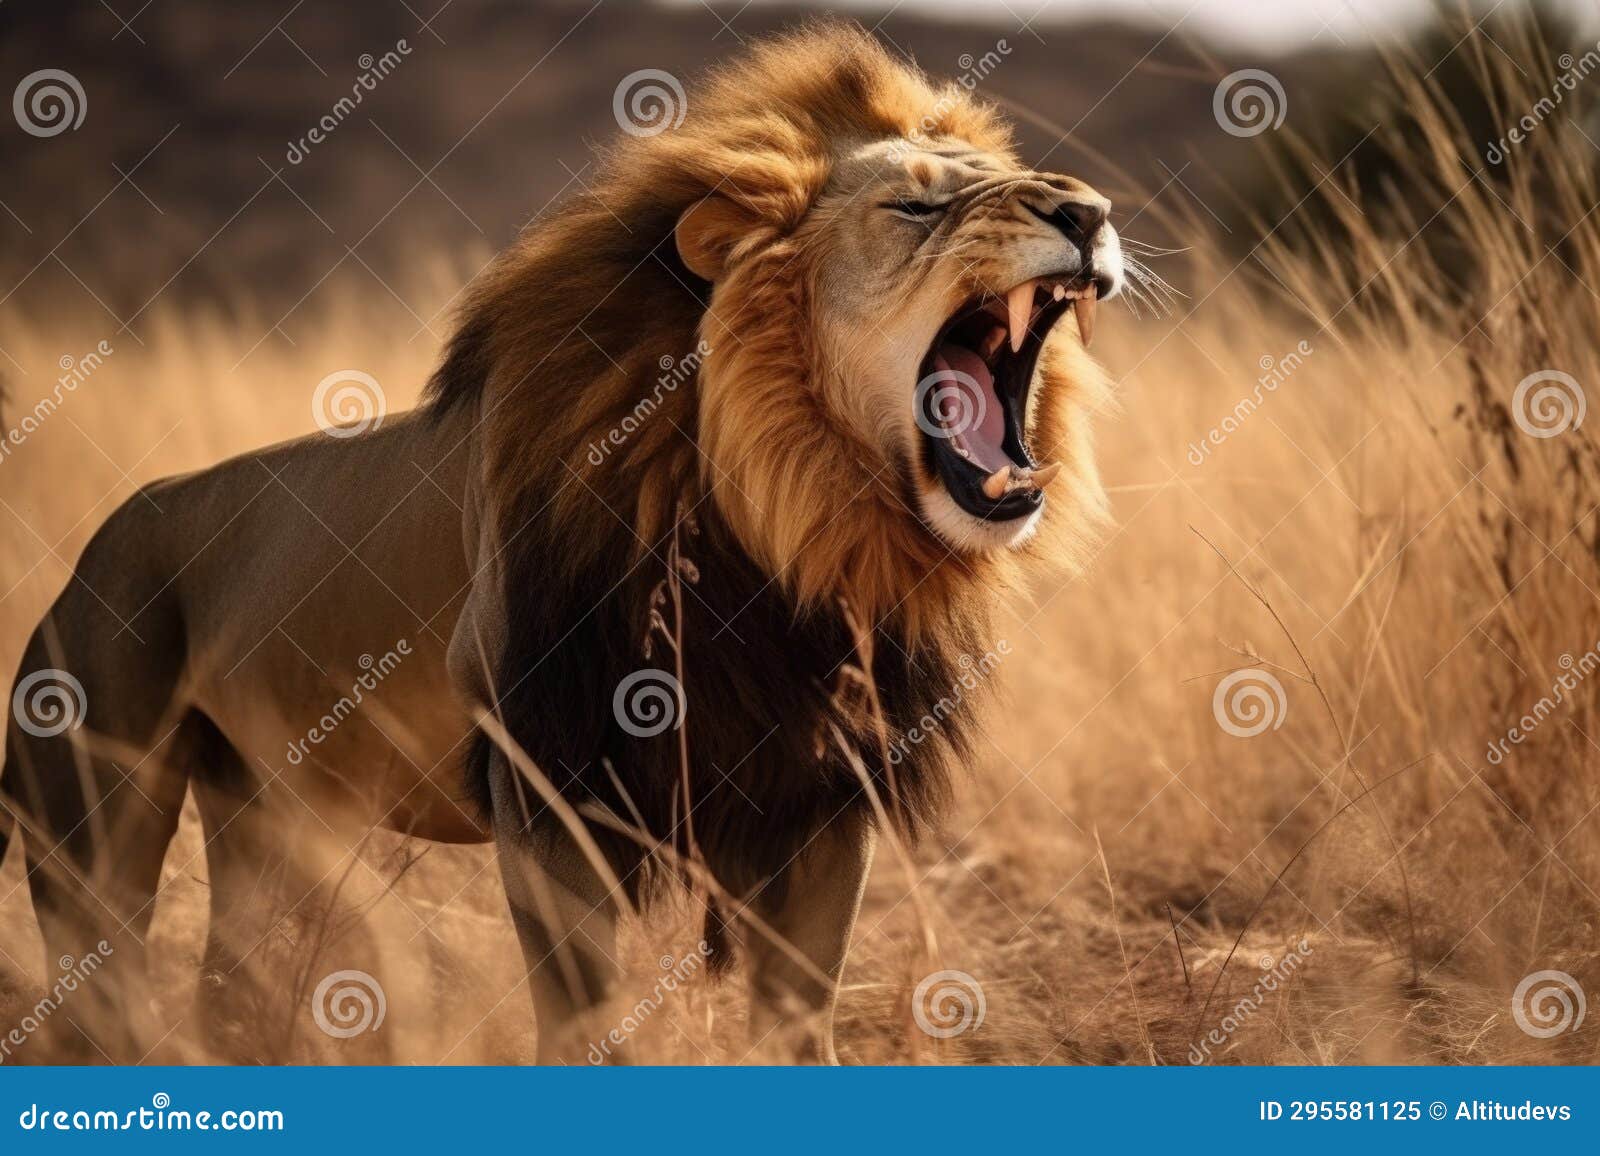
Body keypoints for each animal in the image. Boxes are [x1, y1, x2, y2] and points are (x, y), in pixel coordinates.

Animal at [0, 22, 1123, 1064]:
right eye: (915, 207)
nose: (1089, 212)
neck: (772, 528)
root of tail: (99, 547)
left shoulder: (820, 789)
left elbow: (800, 1017)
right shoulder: (548, 774)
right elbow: (586, 1013)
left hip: (261, 821)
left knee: (228, 988)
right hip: (91, 830)